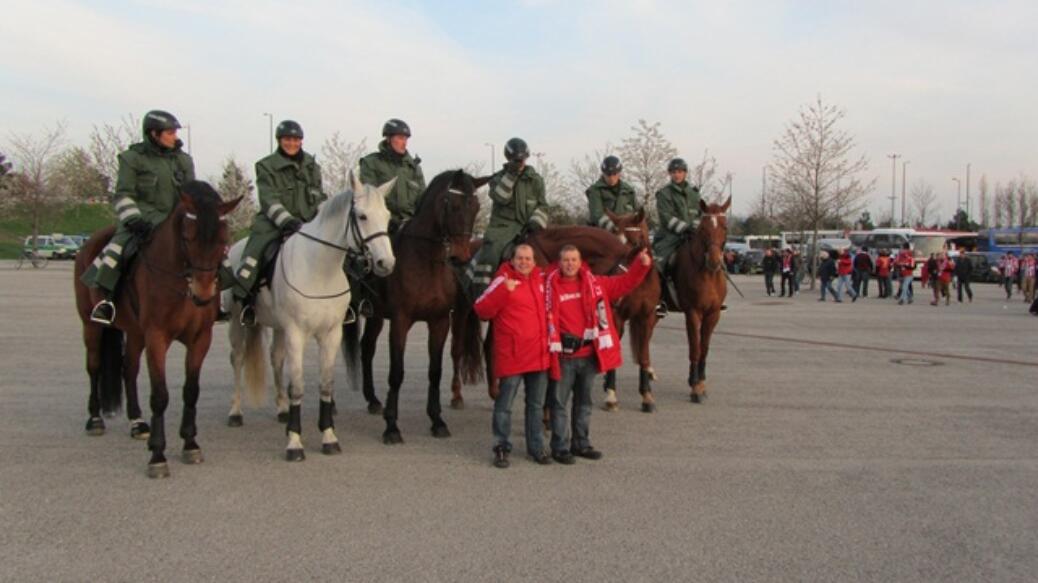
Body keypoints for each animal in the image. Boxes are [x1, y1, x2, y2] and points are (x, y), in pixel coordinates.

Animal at [74, 181, 241, 477]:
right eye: (187, 237)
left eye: (223, 239)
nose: (203, 293)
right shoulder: (157, 337)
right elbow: (160, 395)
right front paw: (158, 455)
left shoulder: (201, 338)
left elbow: (191, 390)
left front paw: (190, 443)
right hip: (91, 325)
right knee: (94, 367)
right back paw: (95, 419)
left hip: (135, 332)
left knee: (128, 369)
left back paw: (138, 423)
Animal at [225, 170, 394, 460]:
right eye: (362, 216)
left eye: (387, 216)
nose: (386, 263)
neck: (320, 270)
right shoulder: (296, 334)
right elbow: (298, 386)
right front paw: (294, 441)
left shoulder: (331, 334)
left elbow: (325, 384)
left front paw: (328, 437)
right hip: (238, 322)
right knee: (237, 360)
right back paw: (235, 412)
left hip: (278, 328)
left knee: (276, 359)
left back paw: (282, 409)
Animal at [340, 170, 485, 441]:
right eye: (453, 205)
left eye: (476, 207)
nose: (460, 257)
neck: (425, 261)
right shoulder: (401, 321)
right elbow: (396, 373)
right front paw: (392, 426)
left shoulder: (440, 322)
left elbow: (435, 371)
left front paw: (437, 420)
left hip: (376, 317)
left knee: (367, 348)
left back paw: (373, 400)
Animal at [602, 206, 664, 410]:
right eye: (614, 236)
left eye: (636, 242)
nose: (615, 278)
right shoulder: (618, 317)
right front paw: (611, 395)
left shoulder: (645, 318)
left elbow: (643, 355)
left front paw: (646, 396)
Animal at [672, 197, 730, 402]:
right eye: (703, 228)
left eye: (725, 227)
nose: (714, 261)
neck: (708, 274)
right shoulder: (693, 313)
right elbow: (695, 347)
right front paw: (695, 386)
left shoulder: (713, 314)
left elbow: (704, 347)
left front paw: (700, 381)